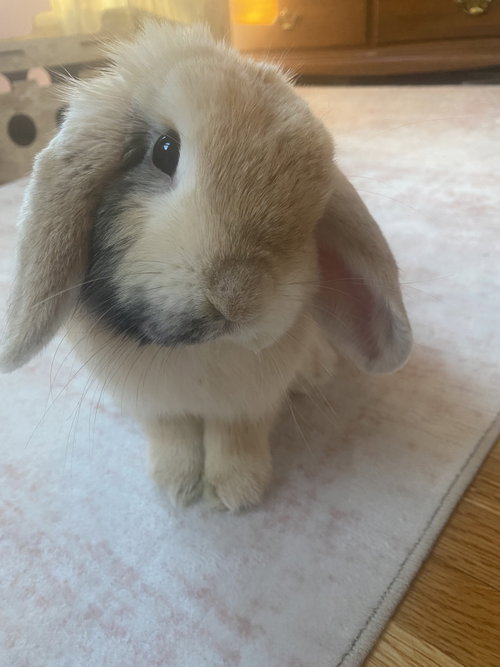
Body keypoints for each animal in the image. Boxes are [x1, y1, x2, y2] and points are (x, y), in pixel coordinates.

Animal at [0, 22, 412, 511]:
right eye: (164, 151)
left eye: (315, 208)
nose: (240, 294)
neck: (196, 351)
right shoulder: (156, 407)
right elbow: (172, 435)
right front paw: (176, 487)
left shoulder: (249, 404)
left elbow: (236, 438)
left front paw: (236, 492)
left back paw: (315, 373)